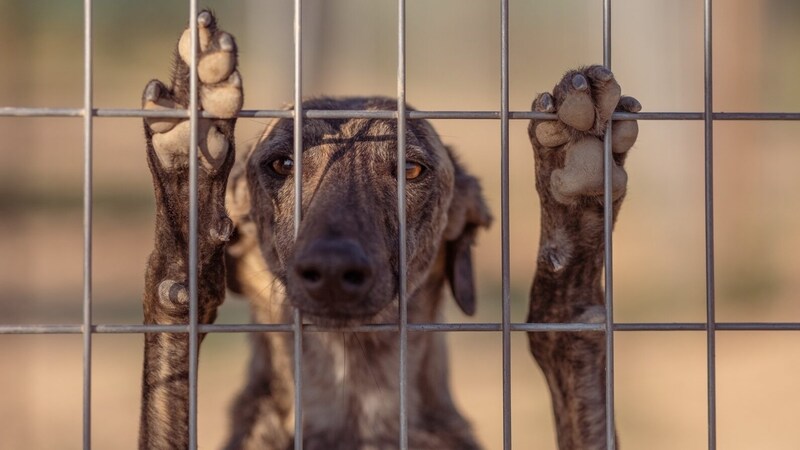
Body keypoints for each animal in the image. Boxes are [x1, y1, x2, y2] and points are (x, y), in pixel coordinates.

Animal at [136, 9, 636, 450]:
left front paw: (576, 188)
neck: (354, 397)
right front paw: (189, 157)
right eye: (282, 163)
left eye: (411, 169)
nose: (332, 270)